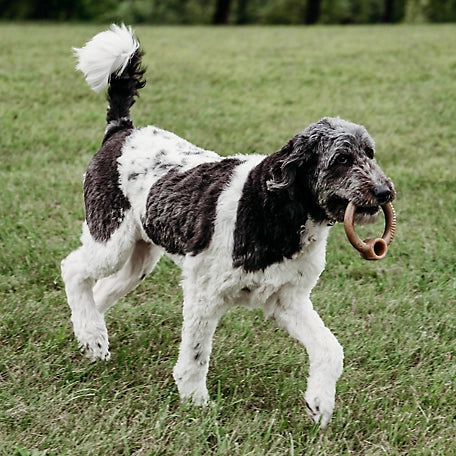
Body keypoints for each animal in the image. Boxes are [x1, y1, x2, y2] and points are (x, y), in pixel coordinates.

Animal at [61, 25, 396, 428]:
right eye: (342, 159)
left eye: (371, 154)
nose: (385, 192)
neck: (276, 210)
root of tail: (122, 130)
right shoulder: (204, 293)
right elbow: (195, 357)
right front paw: (196, 405)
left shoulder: (286, 298)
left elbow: (330, 349)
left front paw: (319, 403)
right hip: (111, 238)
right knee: (73, 269)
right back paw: (93, 335)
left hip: (139, 258)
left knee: (100, 289)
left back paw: (89, 335)